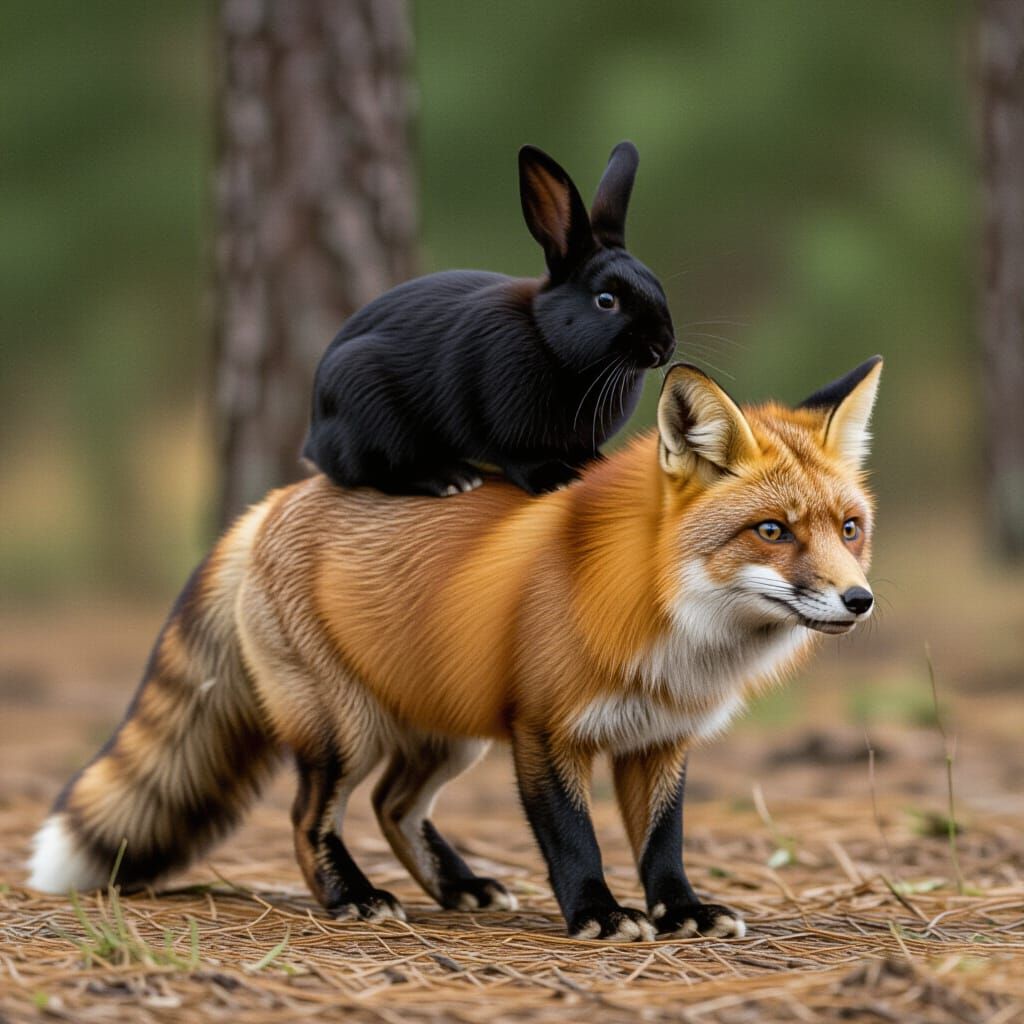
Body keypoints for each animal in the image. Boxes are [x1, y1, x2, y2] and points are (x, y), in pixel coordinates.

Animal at [28, 357, 882, 942]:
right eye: (771, 531)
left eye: (849, 529)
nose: (859, 601)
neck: (671, 635)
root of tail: (278, 499)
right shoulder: (544, 731)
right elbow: (573, 838)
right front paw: (599, 915)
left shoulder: (660, 739)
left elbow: (662, 844)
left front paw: (682, 912)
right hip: (345, 735)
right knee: (310, 817)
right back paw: (350, 896)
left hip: (447, 736)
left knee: (394, 806)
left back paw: (459, 888)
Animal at [302, 141, 676, 496]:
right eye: (606, 300)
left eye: (657, 284)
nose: (663, 347)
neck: (549, 340)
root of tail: (316, 436)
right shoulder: (503, 431)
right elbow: (520, 460)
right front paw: (557, 480)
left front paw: (601, 464)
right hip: (370, 406)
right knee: (377, 473)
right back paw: (451, 478)